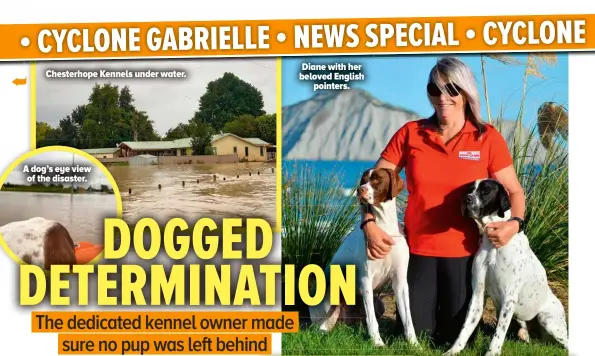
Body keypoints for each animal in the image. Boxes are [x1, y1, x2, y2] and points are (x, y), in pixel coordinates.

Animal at [308, 168, 420, 348]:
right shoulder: (366, 278)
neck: (384, 226)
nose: (360, 190)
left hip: (377, 304)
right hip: (331, 296)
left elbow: (407, 319)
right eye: (363, 180)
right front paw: (378, 342)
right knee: (322, 327)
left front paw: (414, 344)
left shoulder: (400, 281)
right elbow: (372, 320)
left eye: (377, 179)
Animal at [448, 179, 568, 354]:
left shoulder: (509, 298)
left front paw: (491, 353)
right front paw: (453, 351)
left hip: (548, 320)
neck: (493, 245)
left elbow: (498, 334)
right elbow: (465, 328)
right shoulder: (478, 293)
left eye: (485, 191)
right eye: (469, 190)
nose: (466, 199)